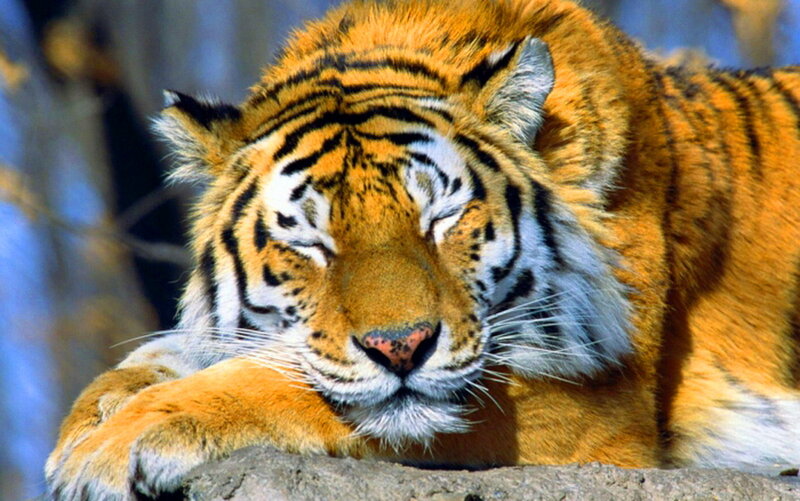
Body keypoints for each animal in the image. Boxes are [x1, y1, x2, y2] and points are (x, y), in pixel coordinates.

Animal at [46, 0, 800, 498]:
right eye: (312, 240)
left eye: (440, 218)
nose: (401, 347)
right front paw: (93, 414)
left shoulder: (594, 410)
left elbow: (285, 385)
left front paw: (111, 446)